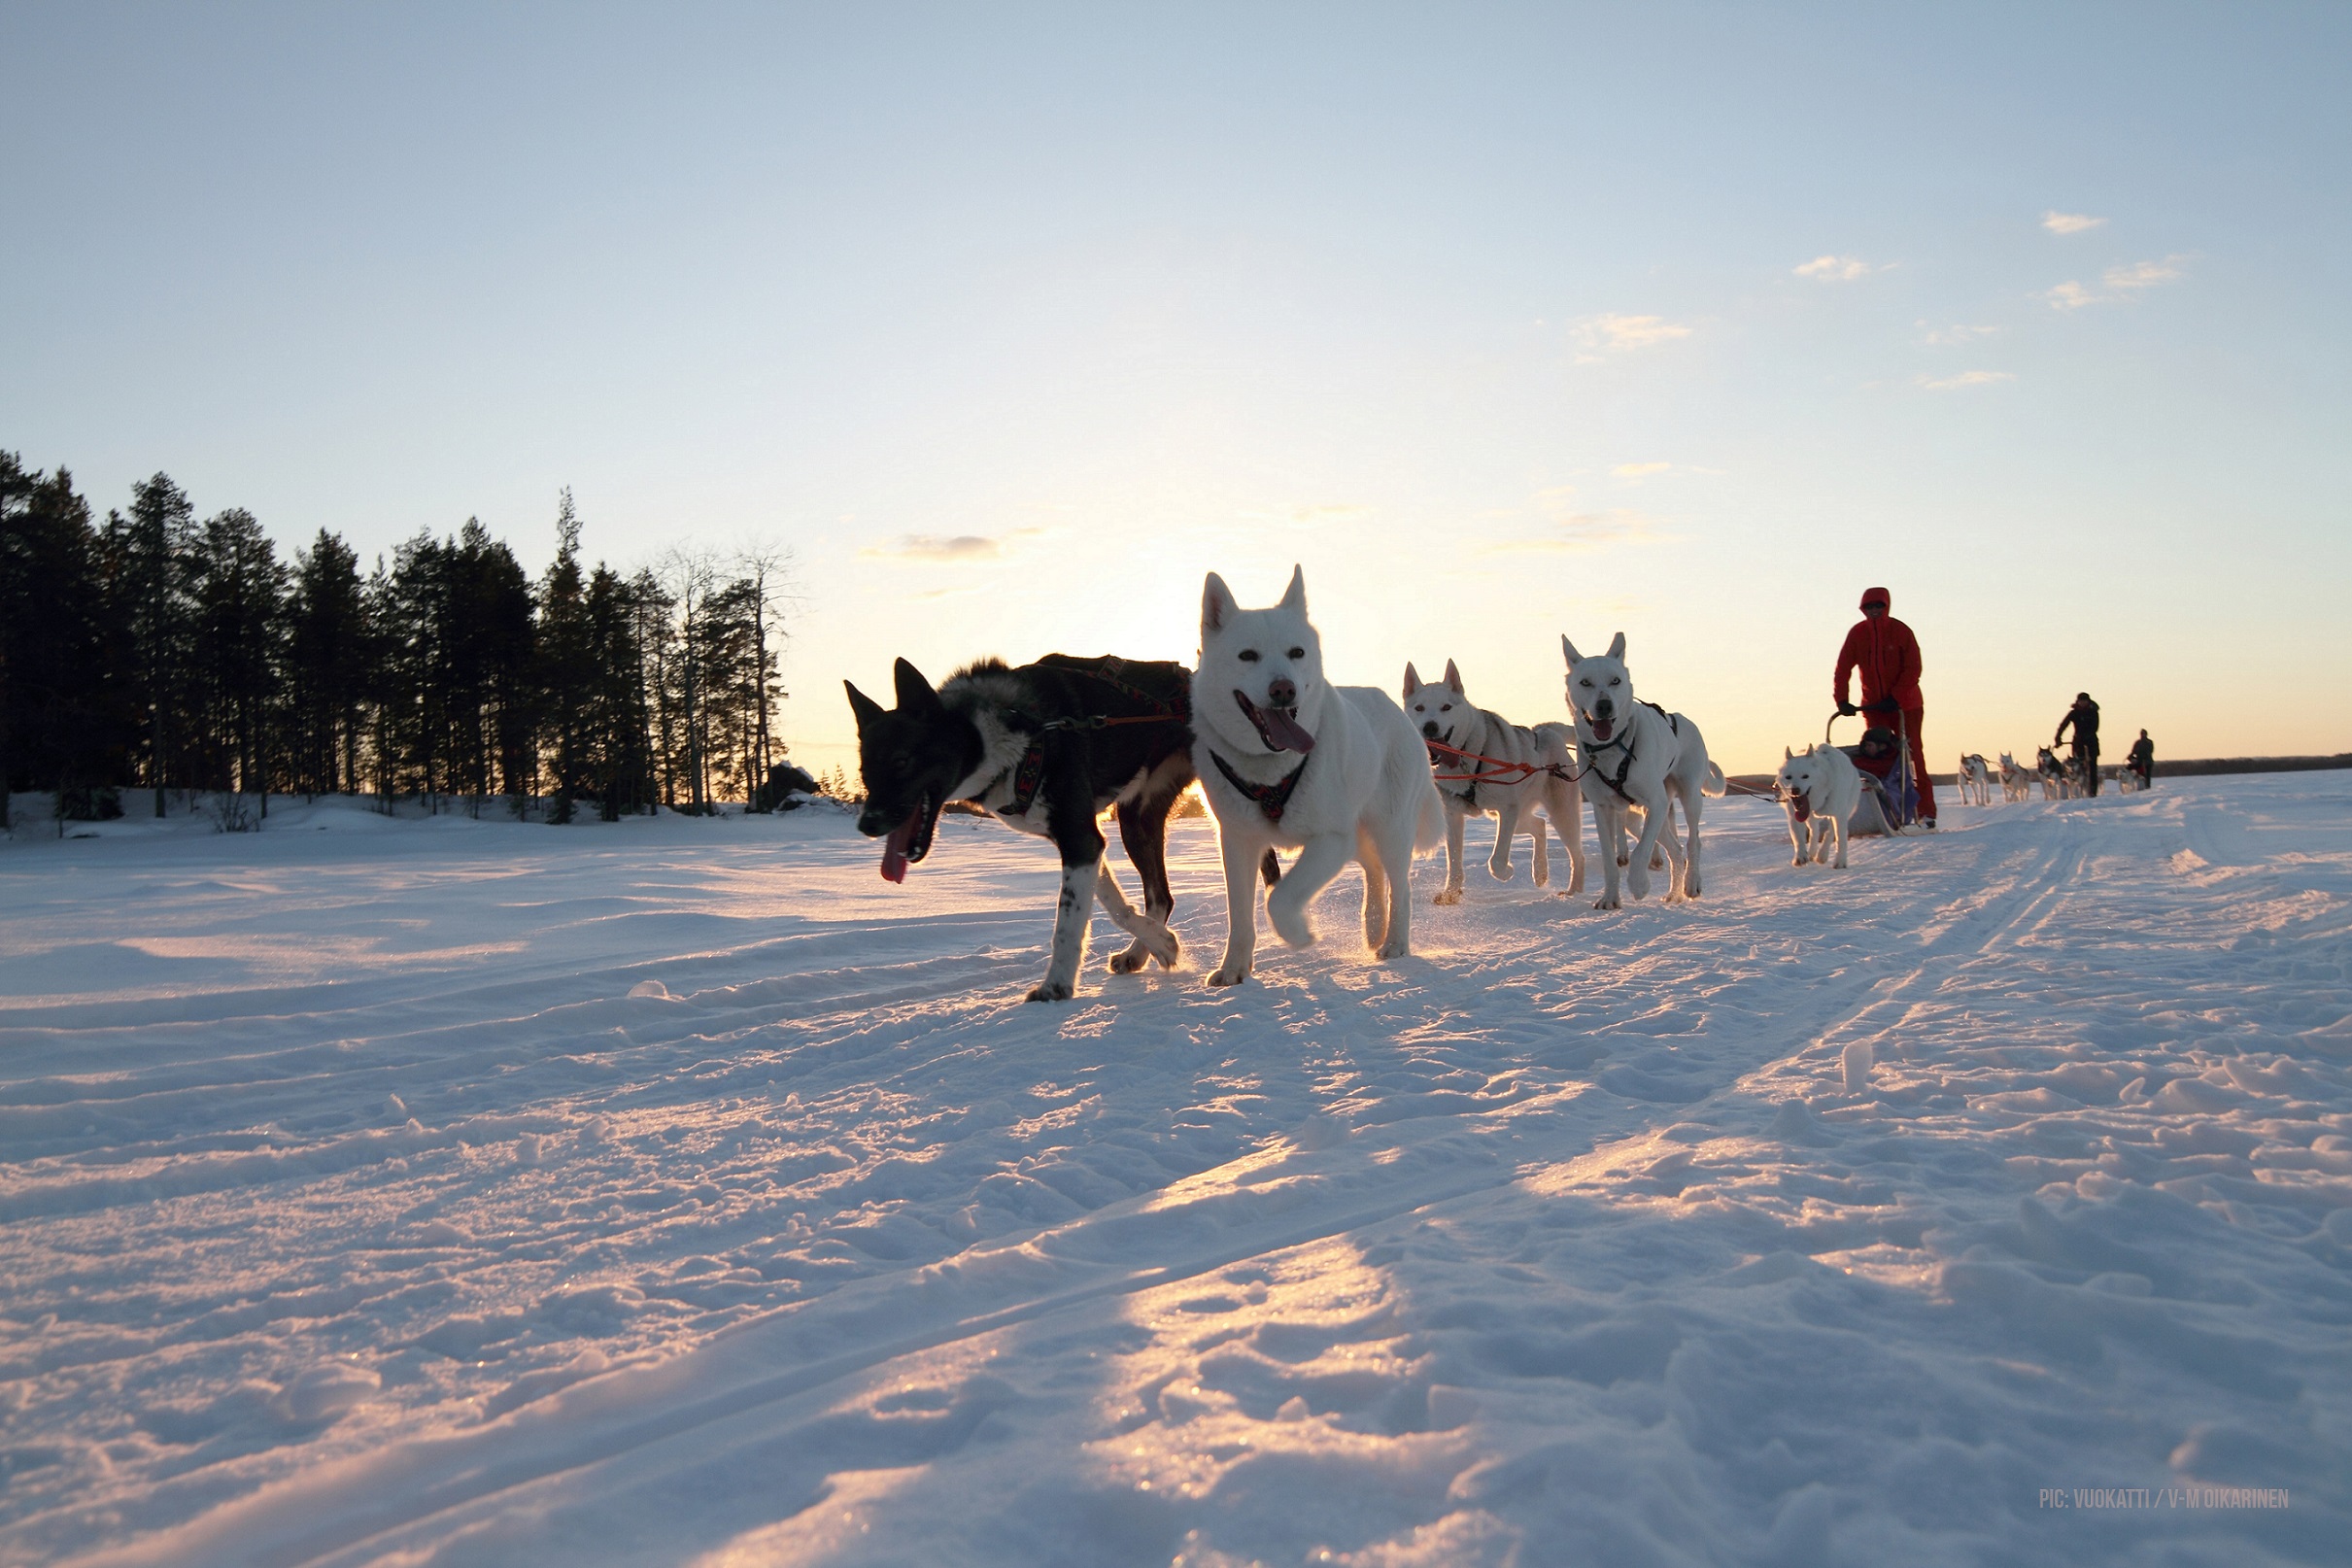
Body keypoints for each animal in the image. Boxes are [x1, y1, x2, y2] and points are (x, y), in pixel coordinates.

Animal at [846, 653, 1194, 1001]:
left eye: (901, 761)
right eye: (864, 771)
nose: (867, 824)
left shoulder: (1079, 838)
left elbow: (1067, 923)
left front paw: (1056, 987)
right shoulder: (1086, 843)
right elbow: (1117, 907)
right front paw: (1162, 943)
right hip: (1136, 818)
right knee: (1161, 897)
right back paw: (1137, 953)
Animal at [1194, 566, 1449, 982]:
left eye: (1297, 652)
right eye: (1247, 656)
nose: (1284, 689)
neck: (1270, 772)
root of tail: (1402, 714)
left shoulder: (1330, 839)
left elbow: (1279, 898)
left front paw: (1300, 934)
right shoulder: (1237, 841)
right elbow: (1239, 917)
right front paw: (1233, 970)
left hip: (1389, 829)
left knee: (1401, 886)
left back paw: (1394, 943)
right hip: (1359, 835)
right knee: (1374, 872)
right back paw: (1374, 927)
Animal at [1401, 658, 1589, 907]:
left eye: (1446, 707)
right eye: (1419, 708)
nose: (1429, 727)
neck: (1468, 760)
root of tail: (1543, 730)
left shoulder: (1507, 810)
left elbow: (1497, 860)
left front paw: (1507, 871)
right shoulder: (1454, 816)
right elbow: (1454, 863)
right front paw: (1451, 893)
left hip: (1559, 814)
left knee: (1577, 854)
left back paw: (1573, 891)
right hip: (1514, 816)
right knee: (1539, 825)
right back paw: (1540, 872)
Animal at [1561, 634, 1730, 911]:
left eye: (1615, 680)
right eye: (1585, 682)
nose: (1604, 706)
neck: (1615, 747)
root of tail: (1684, 720)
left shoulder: (1656, 802)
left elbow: (1641, 852)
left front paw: (1639, 885)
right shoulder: (1602, 809)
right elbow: (1609, 859)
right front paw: (1610, 898)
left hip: (1687, 797)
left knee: (1693, 841)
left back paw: (1691, 884)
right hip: (1653, 815)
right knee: (1675, 849)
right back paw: (1674, 894)